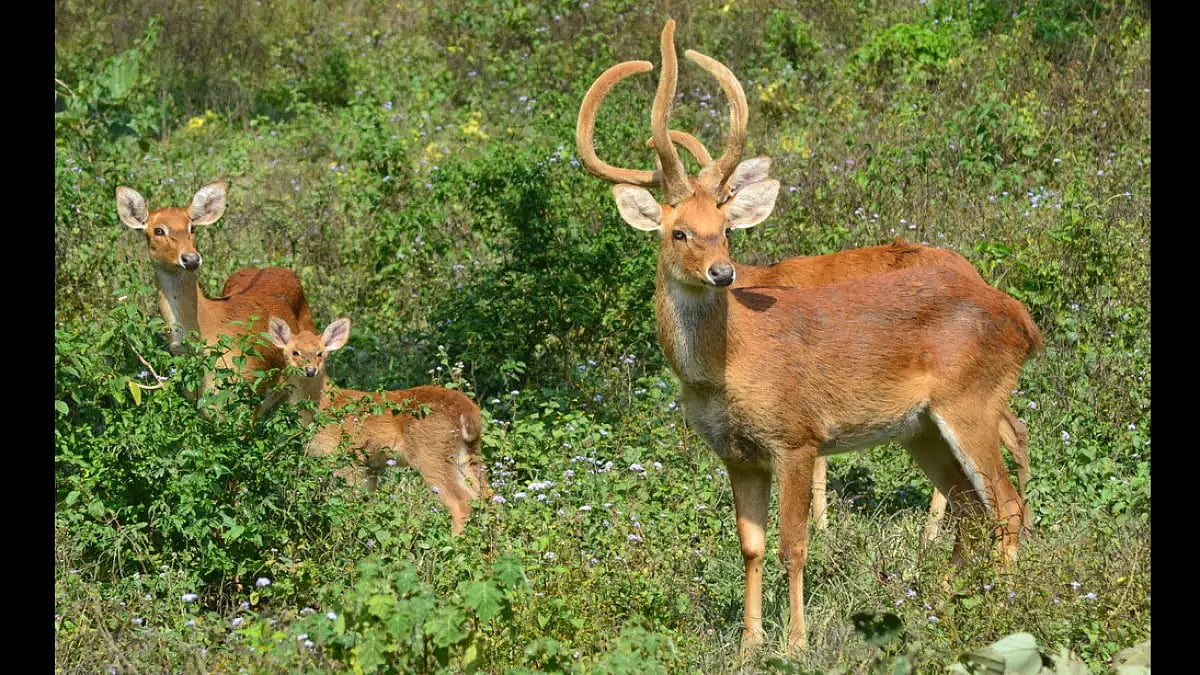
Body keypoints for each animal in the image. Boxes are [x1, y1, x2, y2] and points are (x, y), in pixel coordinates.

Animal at [266, 316, 490, 537]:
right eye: (295, 352)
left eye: (320, 353)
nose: (310, 370)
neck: (325, 406)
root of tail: (468, 412)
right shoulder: (370, 466)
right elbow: (366, 504)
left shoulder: (349, 458)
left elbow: (347, 503)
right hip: (468, 455)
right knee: (487, 497)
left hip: (430, 453)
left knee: (461, 503)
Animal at [576, 19, 1041, 654]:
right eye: (679, 233)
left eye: (725, 229)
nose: (722, 273)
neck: (725, 367)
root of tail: (1023, 319)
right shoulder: (739, 454)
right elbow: (750, 546)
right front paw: (749, 643)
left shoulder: (795, 436)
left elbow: (794, 545)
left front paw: (795, 642)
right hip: (922, 428)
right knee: (974, 506)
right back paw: (945, 601)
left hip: (972, 401)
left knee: (1006, 503)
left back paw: (1004, 605)